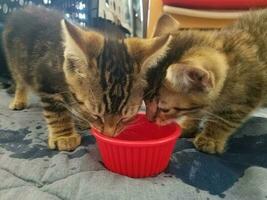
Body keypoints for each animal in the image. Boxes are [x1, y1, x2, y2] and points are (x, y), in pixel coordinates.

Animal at [3, 5, 171, 150]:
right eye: (96, 115)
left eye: (125, 118)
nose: (108, 134)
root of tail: (25, 8)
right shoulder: (45, 80)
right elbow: (57, 112)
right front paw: (64, 136)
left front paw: (80, 119)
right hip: (14, 62)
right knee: (20, 81)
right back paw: (18, 100)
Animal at [146, 10, 267, 154]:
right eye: (144, 101)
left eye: (164, 109)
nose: (150, 120)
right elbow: (195, 113)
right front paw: (188, 126)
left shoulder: (243, 100)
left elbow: (224, 121)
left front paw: (210, 138)